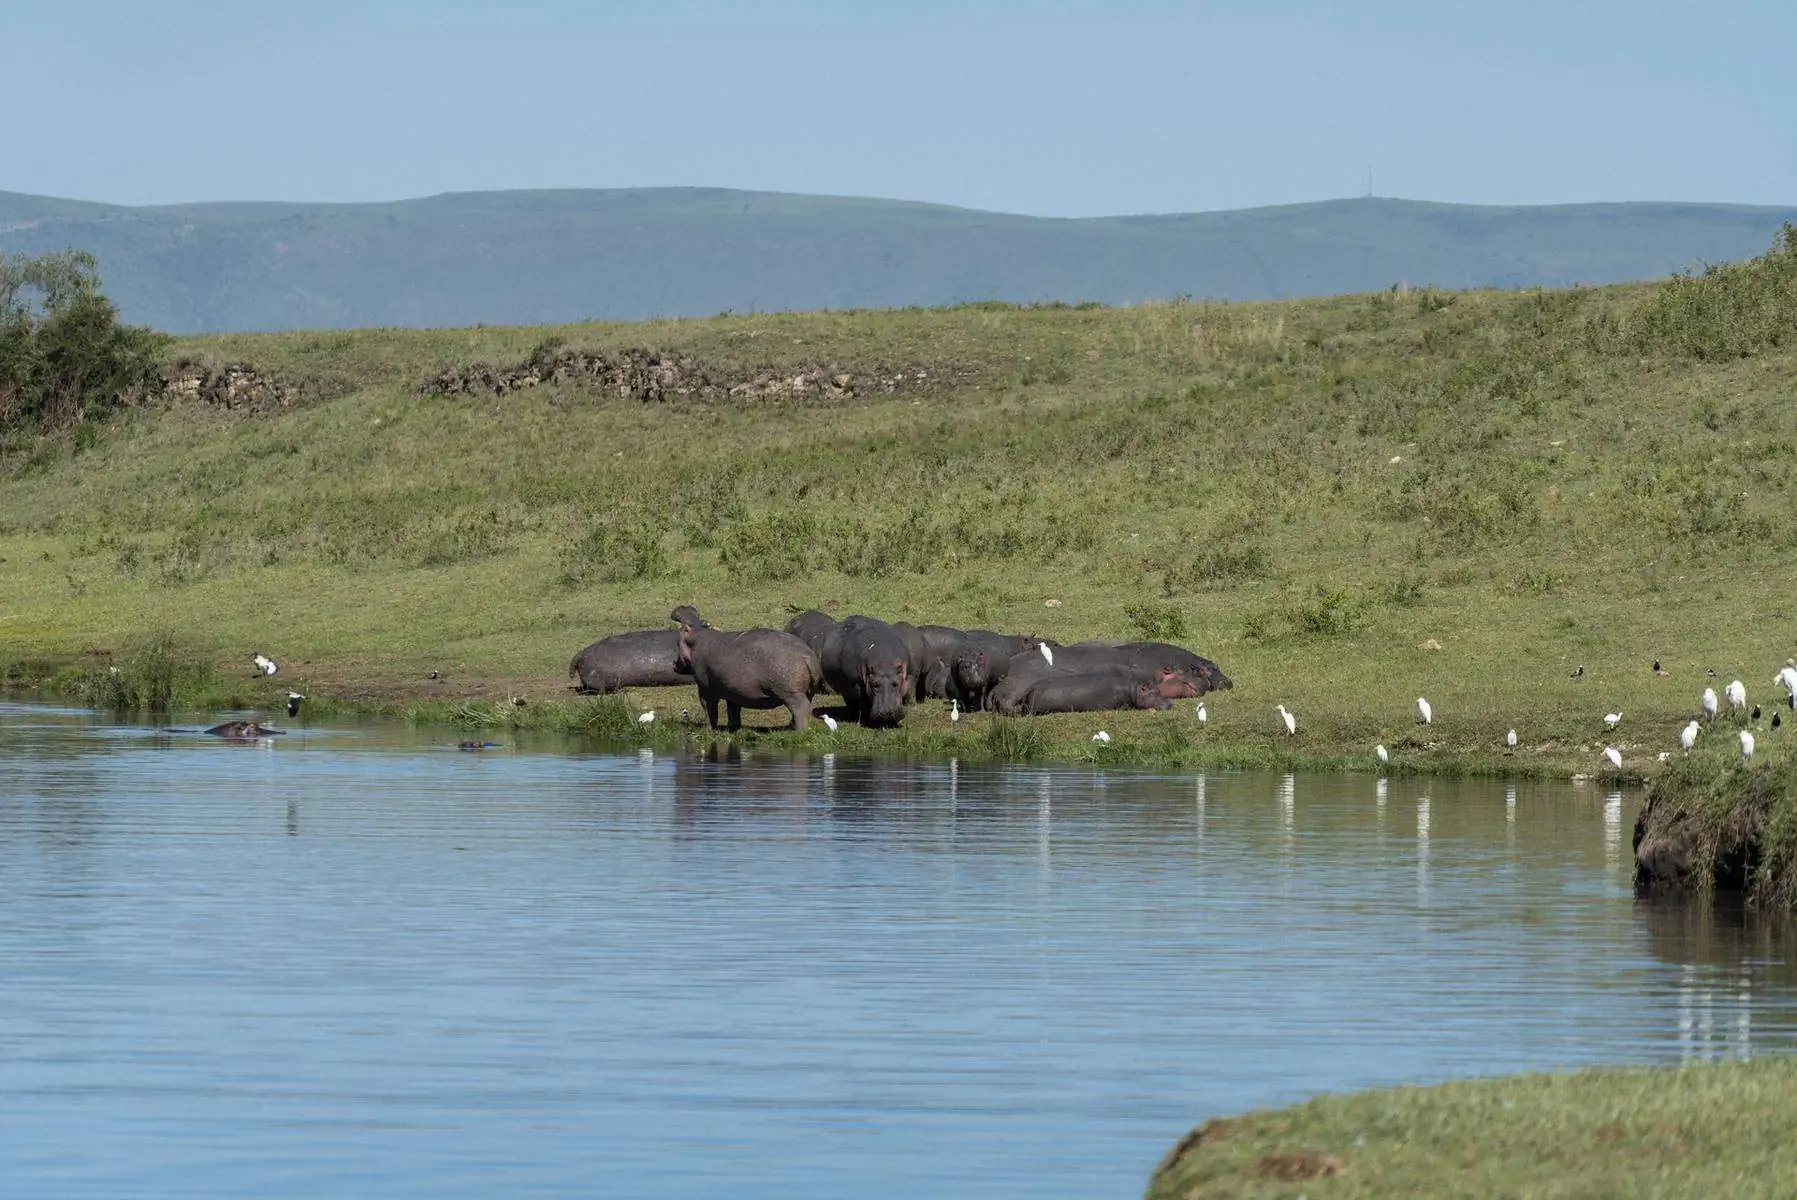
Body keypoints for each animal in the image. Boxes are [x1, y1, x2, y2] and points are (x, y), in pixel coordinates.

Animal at [675, 617, 823, 732]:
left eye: (677, 641)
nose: (674, 664)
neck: (695, 639)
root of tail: (806, 654)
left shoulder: (705, 689)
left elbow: (709, 708)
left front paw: (709, 730)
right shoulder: (732, 690)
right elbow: (733, 710)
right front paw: (732, 729)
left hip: (791, 694)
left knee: (800, 709)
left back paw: (799, 731)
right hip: (806, 692)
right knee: (803, 709)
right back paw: (790, 727)